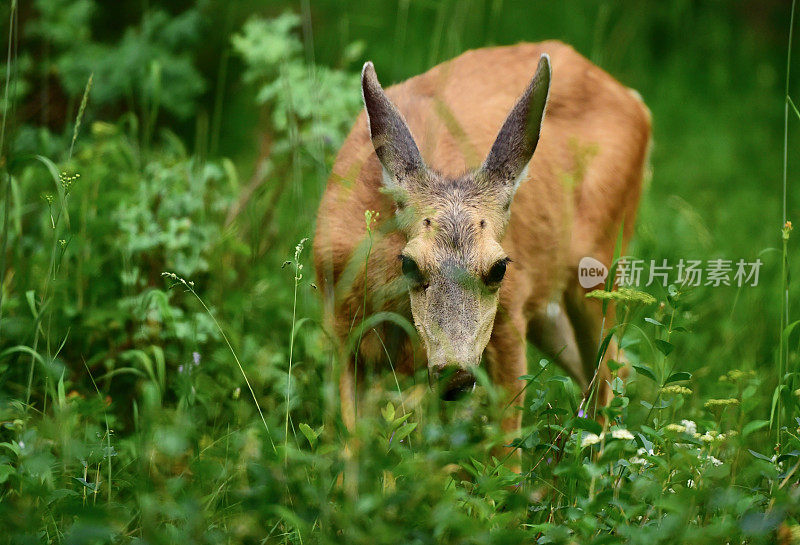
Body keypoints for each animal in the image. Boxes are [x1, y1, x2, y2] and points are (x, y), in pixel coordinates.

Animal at [312, 40, 648, 454]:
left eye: (499, 267)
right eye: (409, 264)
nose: (454, 376)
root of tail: (634, 100)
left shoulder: (508, 319)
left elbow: (504, 450)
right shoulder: (342, 329)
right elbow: (352, 445)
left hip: (600, 262)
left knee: (606, 373)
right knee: (615, 367)